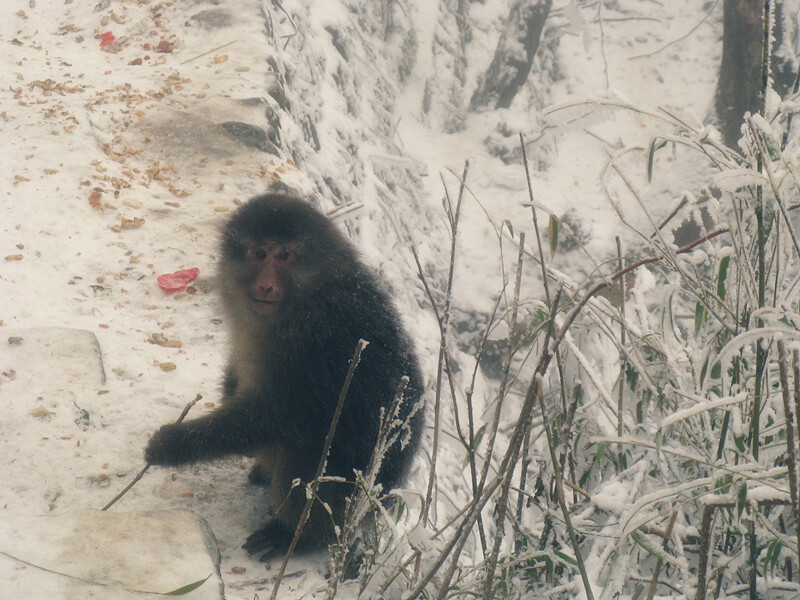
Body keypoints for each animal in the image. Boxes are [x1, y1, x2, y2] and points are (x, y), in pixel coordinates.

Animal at [147, 192, 428, 556]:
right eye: (259, 253)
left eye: (283, 255)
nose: (266, 285)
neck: (304, 297)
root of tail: (383, 500)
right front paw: (228, 386)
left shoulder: (311, 343)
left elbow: (275, 415)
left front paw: (175, 444)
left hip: (352, 498)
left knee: (308, 445)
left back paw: (295, 535)